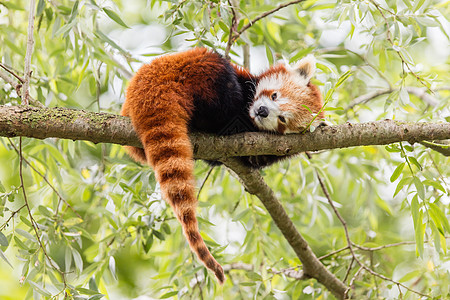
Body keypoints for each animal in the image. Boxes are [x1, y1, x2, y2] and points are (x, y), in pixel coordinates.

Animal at [119, 47, 324, 284]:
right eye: (275, 95)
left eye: (282, 119)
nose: (262, 111)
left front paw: (257, 159)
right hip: (195, 69)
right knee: (220, 74)